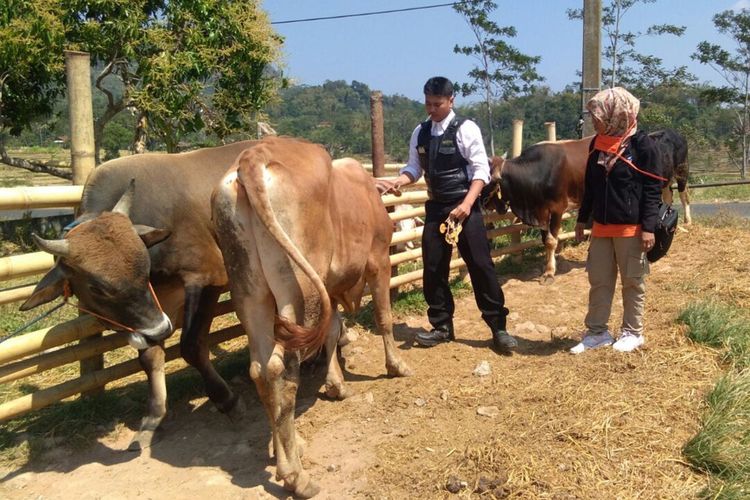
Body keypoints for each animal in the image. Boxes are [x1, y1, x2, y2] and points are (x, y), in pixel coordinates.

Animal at [210, 136, 412, 496]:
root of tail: (253, 156)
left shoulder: (328, 286)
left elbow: (331, 331)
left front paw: (335, 384)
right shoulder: (378, 261)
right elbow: (383, 317)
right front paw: (396, 366)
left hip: (251, 294)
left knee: (260, 370)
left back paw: (289, 447)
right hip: (299, 290)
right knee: (282, 369)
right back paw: (296, 476)